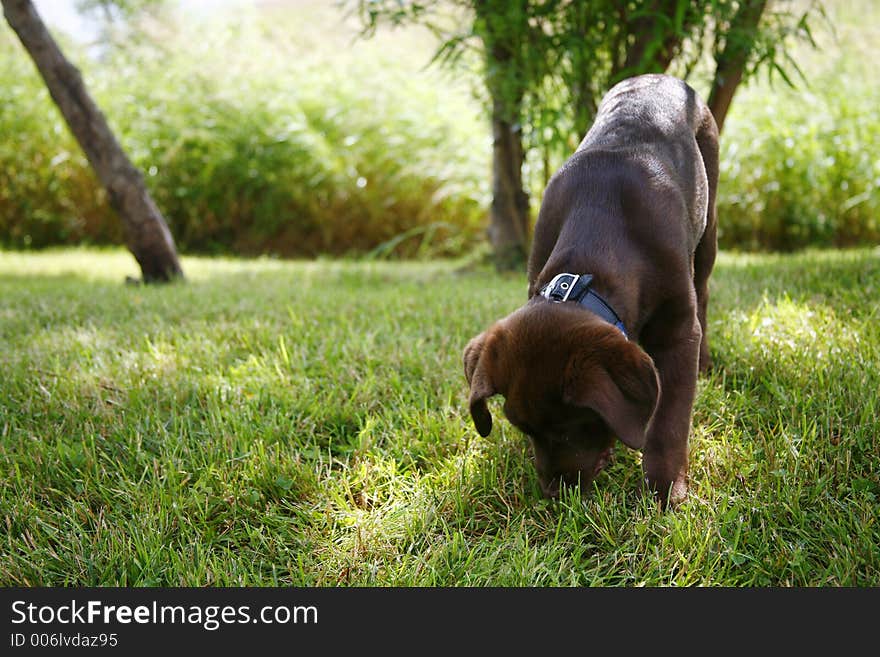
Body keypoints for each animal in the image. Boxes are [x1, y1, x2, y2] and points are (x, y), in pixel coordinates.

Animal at [464, 75, 720, 508]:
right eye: (524, 429)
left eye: (572, 426)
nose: (555, 493)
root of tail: (658, 76)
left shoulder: (677, 333)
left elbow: (669, 418)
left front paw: (666, 490)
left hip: (709, 224)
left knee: (702, 290)